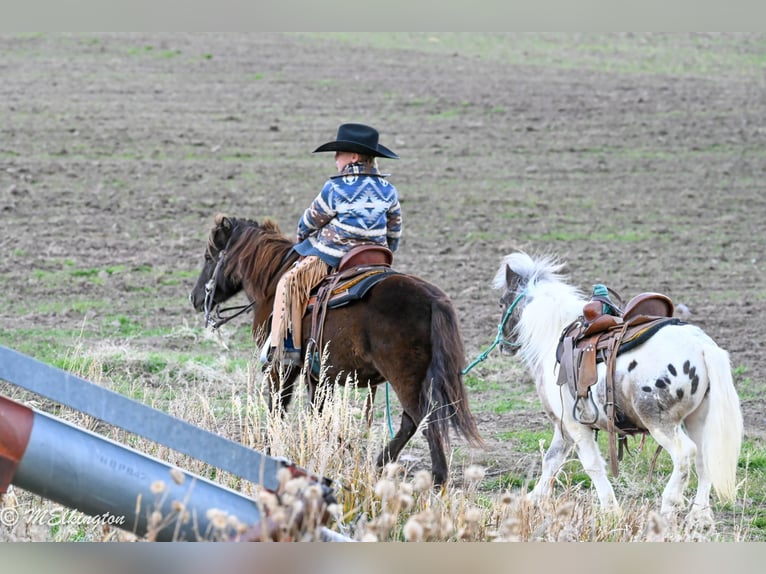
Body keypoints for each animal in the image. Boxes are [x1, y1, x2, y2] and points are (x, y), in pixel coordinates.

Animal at [189, 213, 483, 485]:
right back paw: (379, 466)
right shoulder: (320, 375)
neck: (273, 282)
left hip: (405, 378)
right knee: (412, 422)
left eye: (208, 256)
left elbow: (277, 408)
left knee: (424, 421)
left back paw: (436, 480)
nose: (194, 298)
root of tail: (432, 298)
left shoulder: (280, 367)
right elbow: (319, 414)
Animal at [492, 251, 743, 520]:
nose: (503, 345)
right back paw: (700, 517)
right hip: (698, 419)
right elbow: (551, 460)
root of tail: (702, 346)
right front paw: (530, 501)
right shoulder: (563, 426)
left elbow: (591, 465)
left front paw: (610, 510)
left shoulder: (574, 425)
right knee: (705, 460)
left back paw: (668, 507)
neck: (555, 339)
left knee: (685, 455)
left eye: (501, 303)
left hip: (660, 423)